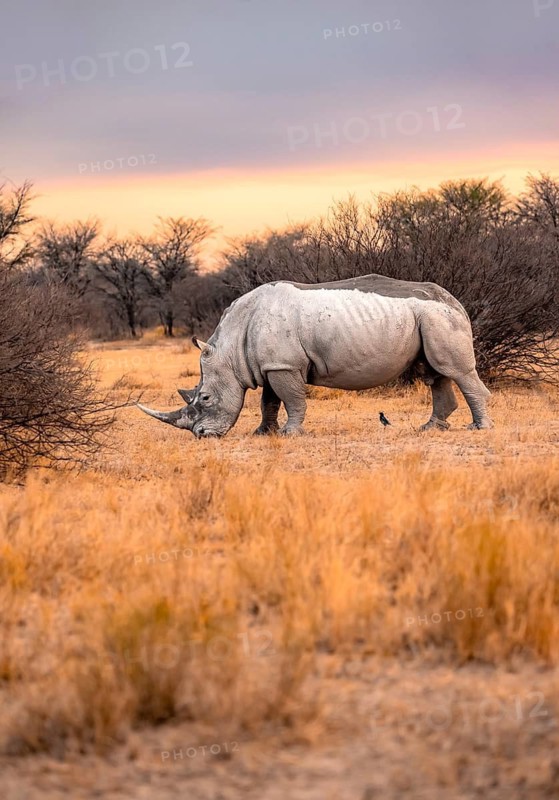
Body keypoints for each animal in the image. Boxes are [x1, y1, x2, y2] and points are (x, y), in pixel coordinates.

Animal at [138, 274, 492, 437]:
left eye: (206, 398)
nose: (201, 436)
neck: (231, 347)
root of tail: (456, 301)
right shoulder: (271, 365)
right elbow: (269, 401)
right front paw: (263, 433)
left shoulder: (284, 365)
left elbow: (292, 399)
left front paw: (289, 433)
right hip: (427, 318)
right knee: (434, 372)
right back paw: (430, 428)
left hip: (438, 317)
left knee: (455, 371)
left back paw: (478, 429)